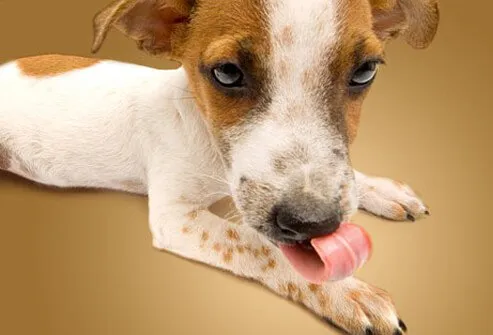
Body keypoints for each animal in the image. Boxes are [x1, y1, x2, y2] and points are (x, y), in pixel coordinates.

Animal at [0, 0, 438, 334]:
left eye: (366, 70)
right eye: (227, 73)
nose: (314, 223)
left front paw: (380, 189)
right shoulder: (177, 218)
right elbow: (262, 247)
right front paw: (346, 291)